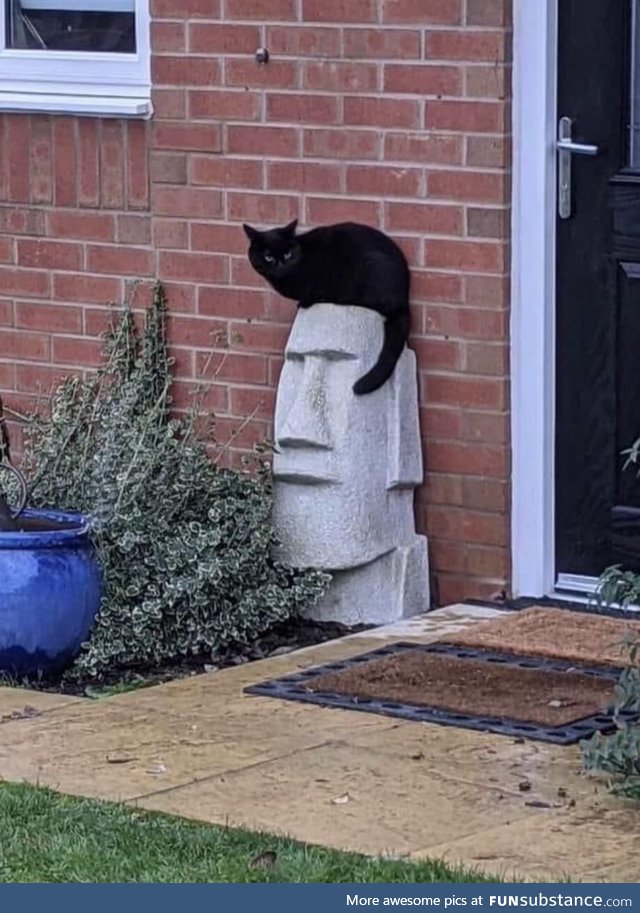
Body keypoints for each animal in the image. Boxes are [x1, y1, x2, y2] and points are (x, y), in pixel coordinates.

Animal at [240, 221, 410, 396]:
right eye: (268, 257)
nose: (281, 264)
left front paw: (304, 303)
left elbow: (311, 292)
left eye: (288, 254)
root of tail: (403, 298)